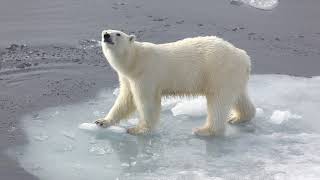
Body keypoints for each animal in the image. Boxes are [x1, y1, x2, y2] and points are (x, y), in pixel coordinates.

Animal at [94, 29, 255, 136]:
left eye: (118, 34)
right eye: (105, 31)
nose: (106, 35)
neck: (136, 60)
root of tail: (244, 56)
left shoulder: (146, 75)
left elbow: (147, 102)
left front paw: (138, 129)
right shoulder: (128, 78)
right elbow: (125, 100)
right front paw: (102, 121)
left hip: (219, 71)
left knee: (218, 102)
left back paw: (204, 130)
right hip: (233, 75)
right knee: (239, 97)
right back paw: (238, 117)